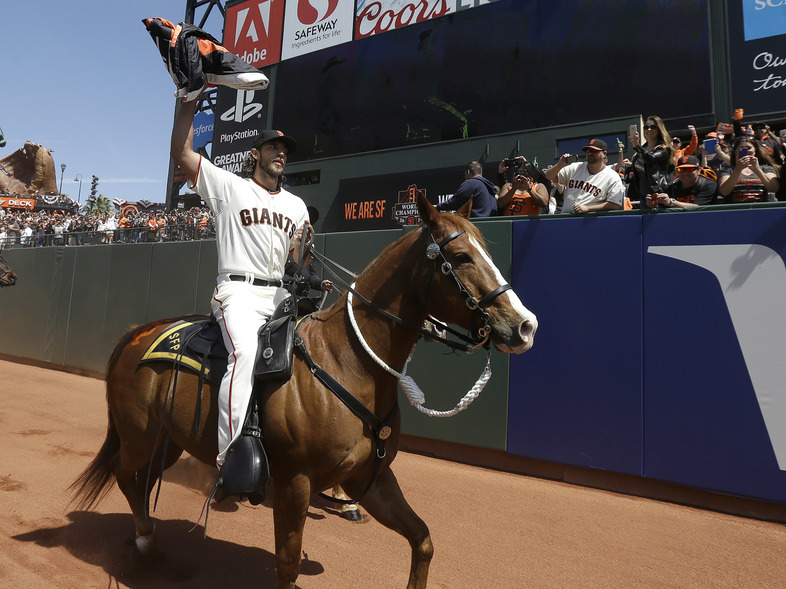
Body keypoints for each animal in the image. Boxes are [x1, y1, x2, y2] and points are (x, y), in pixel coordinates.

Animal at [70, 193, 536, 588]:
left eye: (488, 253)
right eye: (460, 257)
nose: (524, 325)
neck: (347, 363)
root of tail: (139, 332)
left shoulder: (373, 479)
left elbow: (422, 539)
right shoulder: (295, 482)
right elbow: (288, 564)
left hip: (167, 442)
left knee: (143, 480)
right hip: (139, 435)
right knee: (124, 473)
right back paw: (144, 539)